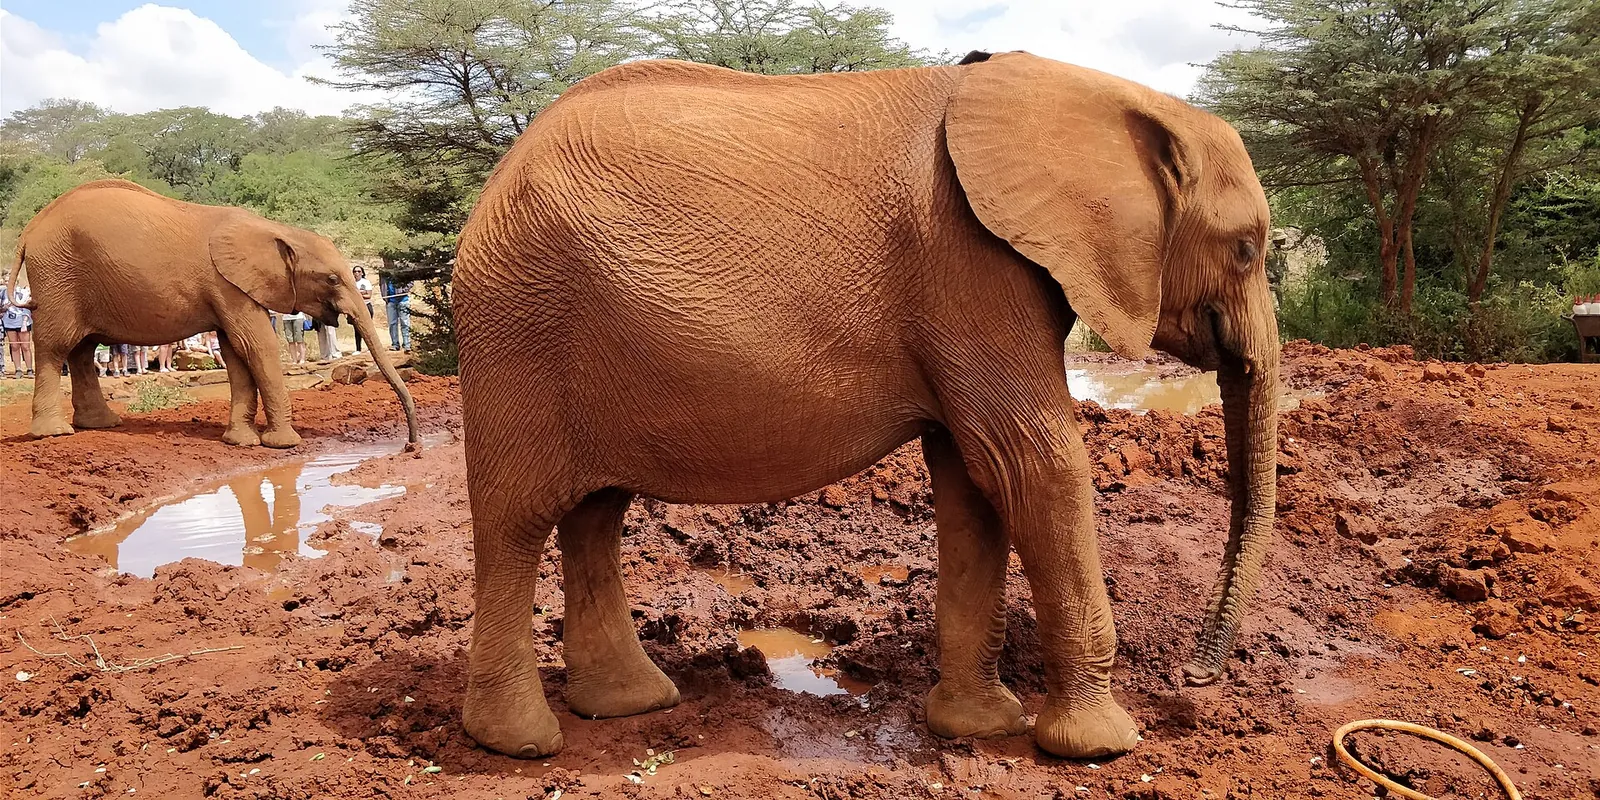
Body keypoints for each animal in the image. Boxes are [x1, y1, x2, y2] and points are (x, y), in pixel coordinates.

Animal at [6, 179, 419, 448]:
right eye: (332, 279)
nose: (410, 445)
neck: (276, 231)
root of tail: (29, 230)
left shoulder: (230, 290)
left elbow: (236, 352)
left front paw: (241, 442)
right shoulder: (227, 285)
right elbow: (257, 346)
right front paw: (283, 444)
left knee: (82, 350)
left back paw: (101, 424)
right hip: (58, 274)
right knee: (56, 346)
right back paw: (55, 434)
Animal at [451, 51, 1279, 760]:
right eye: (1247, 248)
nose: (1198, 678)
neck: (1109, 96)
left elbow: (973, 481)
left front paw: (980, 728)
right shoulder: (972, 269)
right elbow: (1034, 466)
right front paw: (1103, 747)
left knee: (595, 513)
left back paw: (630, 705)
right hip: (518, 327)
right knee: (516, 522)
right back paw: (518, 741)